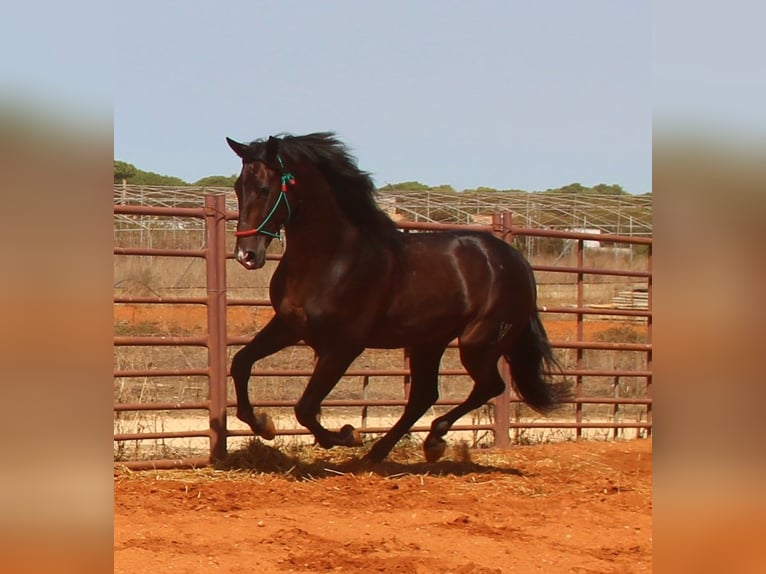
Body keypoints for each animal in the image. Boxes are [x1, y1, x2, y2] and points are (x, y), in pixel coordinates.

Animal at [225, 133, 568, 466]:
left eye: (264, 189)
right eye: (238, 188)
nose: (246, 255)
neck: (332, 259)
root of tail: (516, 260)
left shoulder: (343, 346)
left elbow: (305, 408)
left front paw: (349, 435)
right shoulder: (288, 326)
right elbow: (241, 363)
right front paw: (263, 424)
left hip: (477, 343)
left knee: (489, 386)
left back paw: (426, 441)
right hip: (428, 343)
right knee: (424, 395)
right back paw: (387, 452)